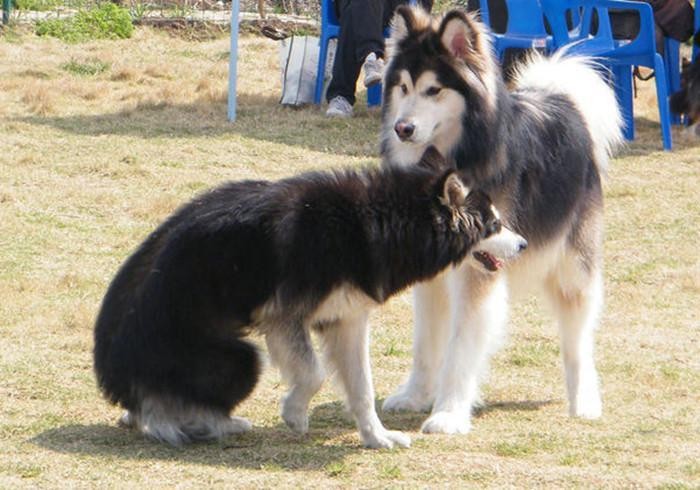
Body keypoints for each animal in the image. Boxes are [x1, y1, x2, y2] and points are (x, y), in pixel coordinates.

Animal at [380, 6, 628, 432]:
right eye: (404, 87)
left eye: (434, 90)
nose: (402, 129)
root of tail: (562, 100)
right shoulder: (430, 275)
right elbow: (425, 342)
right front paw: (415, 396)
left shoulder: (479, 270)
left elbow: (461, 347)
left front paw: (449, 413)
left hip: (573, 267)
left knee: (577, 336)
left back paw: (583, 401)